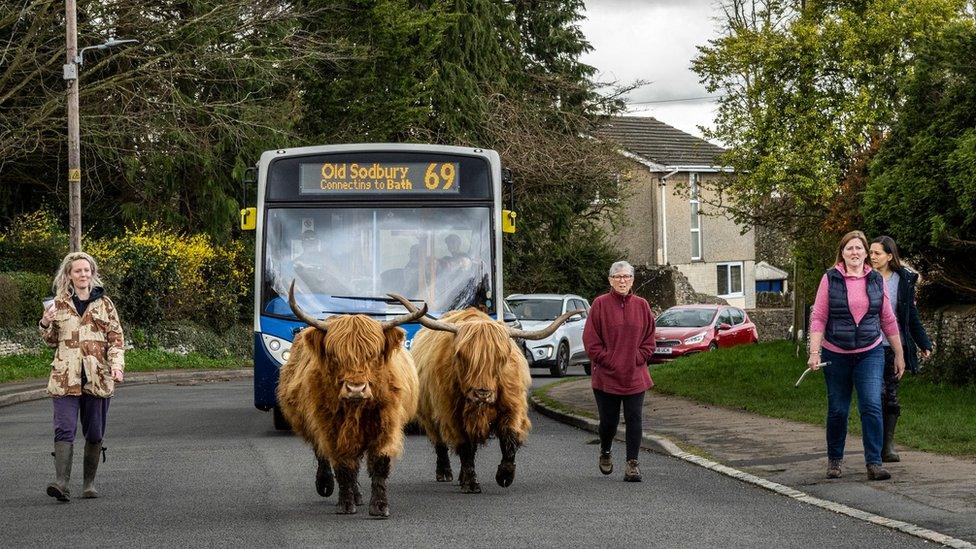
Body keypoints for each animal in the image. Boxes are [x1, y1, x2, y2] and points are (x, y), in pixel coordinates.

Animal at [276, 284, 426, 516]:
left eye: (373, 355)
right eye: (335, 356)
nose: (356, 389)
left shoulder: (387, 424)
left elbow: (379, 463)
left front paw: (379, 506)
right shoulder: (330, 428)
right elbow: (343, 466)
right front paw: (345, 504)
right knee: (324, 455)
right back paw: (328, 485)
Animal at [392, 298, 584, 494]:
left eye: (501, 358)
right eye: (461, 356)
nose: (482, 393)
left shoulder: (512, 408)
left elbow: (509, 439)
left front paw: (505, 475)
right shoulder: (452, 416)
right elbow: (465, 448)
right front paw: (471, 484)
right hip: (429, 414)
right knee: (440, 443)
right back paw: (445, 473)